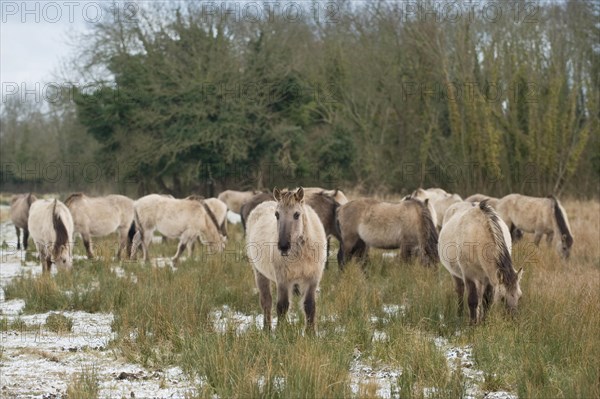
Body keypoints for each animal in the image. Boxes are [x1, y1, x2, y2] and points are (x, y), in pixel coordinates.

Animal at [245, 189, 328, 336]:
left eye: (297, 214)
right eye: (277, 214)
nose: (283, 246)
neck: (300, 252)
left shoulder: (312, 279)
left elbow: (309, 305)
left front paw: (311, 334)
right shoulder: (283, 280)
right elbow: (282, 306)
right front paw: (281, 333)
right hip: (259, 273)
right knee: (266, 301)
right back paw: (267, 330)